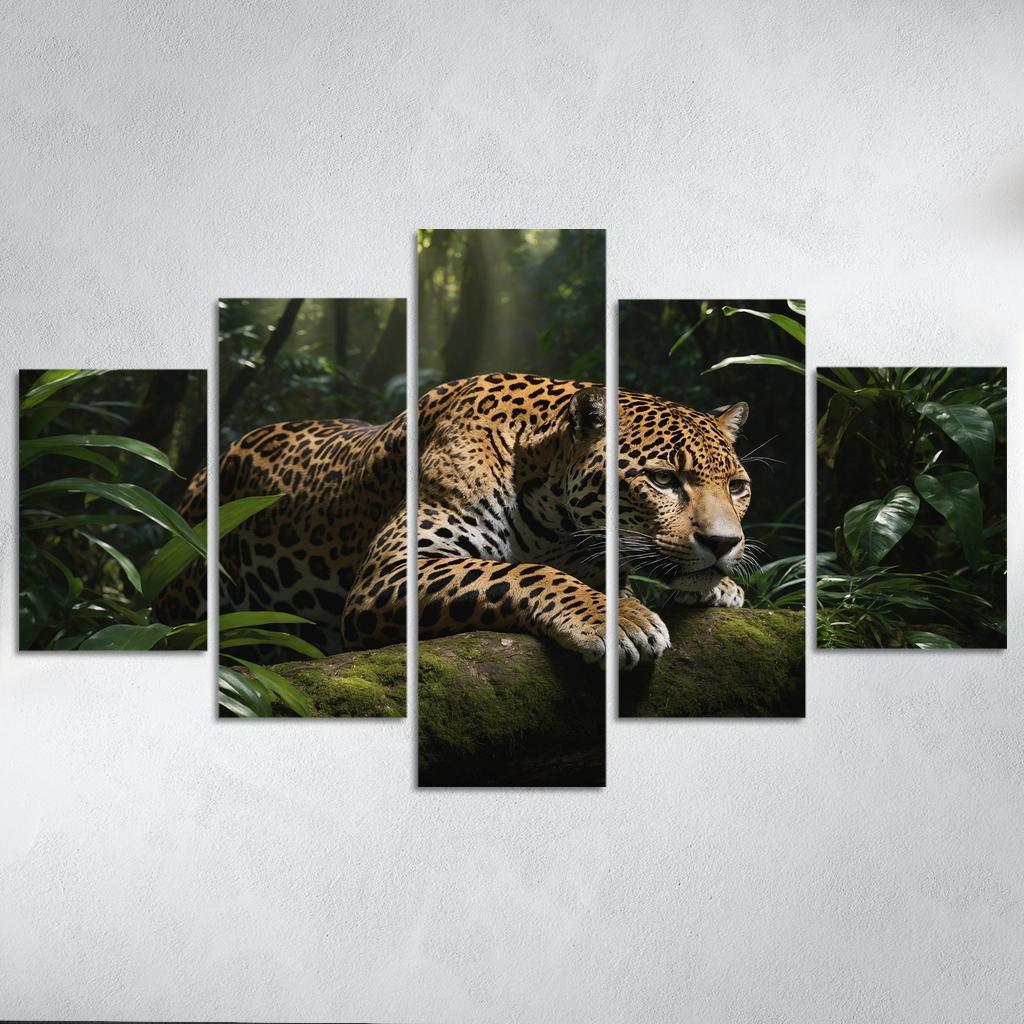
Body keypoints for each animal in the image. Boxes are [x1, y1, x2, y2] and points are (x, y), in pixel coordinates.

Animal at [157, 373, 751, 670]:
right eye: (663, 479)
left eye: (738, 488)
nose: (724, 543)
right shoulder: (392, 572)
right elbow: (522, 572)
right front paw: (617, 618)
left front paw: (717, 588)